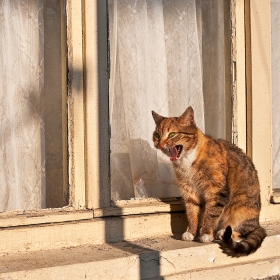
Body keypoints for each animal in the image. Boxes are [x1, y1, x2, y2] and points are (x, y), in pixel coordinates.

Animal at [152, 106, 266, 258]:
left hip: (240, 208)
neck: (187, 161)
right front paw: (191, 232)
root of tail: (257, 222)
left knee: (245, 230)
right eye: (157, 135)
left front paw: (206, 234)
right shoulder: (189, 191)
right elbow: (192, 213)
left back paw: (222, 232)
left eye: (172, 134)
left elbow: (210, 213)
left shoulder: (216, 191)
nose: (159, 144)